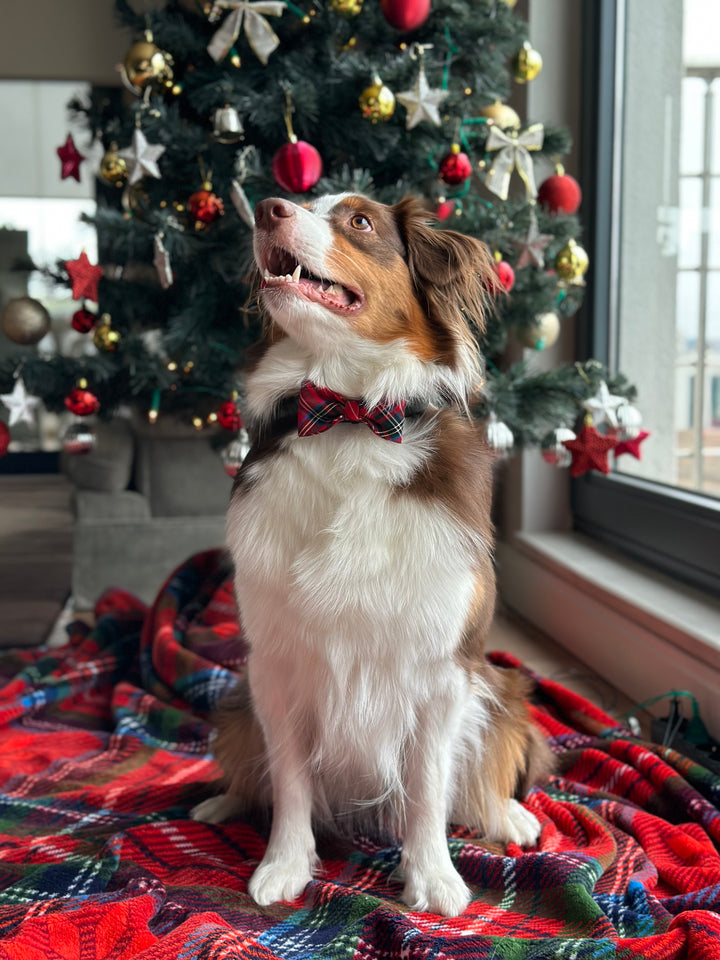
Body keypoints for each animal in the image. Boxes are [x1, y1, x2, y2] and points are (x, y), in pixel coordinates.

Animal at [191, 193, 552, 916]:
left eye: (359, 222)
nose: (267, 206)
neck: (348, 414)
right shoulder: (275, 667)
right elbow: (291, 781)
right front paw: (284, 864)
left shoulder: (443, 669)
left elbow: (429, 789)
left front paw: (433, 876)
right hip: (238, 698)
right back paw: (222, 803)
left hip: (502, 685)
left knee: (489, 767)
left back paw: (510, 816)